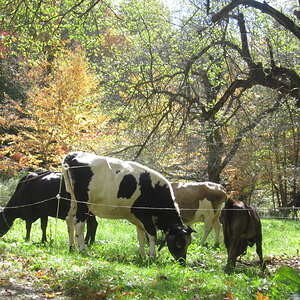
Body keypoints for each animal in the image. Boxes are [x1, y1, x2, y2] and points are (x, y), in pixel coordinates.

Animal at [62, 151, 195, 262]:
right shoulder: (142, 214)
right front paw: (152, 256)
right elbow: (152, 234)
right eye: (179, 243)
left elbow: (141, 236)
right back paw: (82, 250)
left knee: (69, 220)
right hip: (83, 203)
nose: (182, 262)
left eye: (189, 243)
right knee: (79, 223)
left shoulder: (137, 219)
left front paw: (142, 255)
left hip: (73, 200)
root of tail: (75, 154)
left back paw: (72, 248)